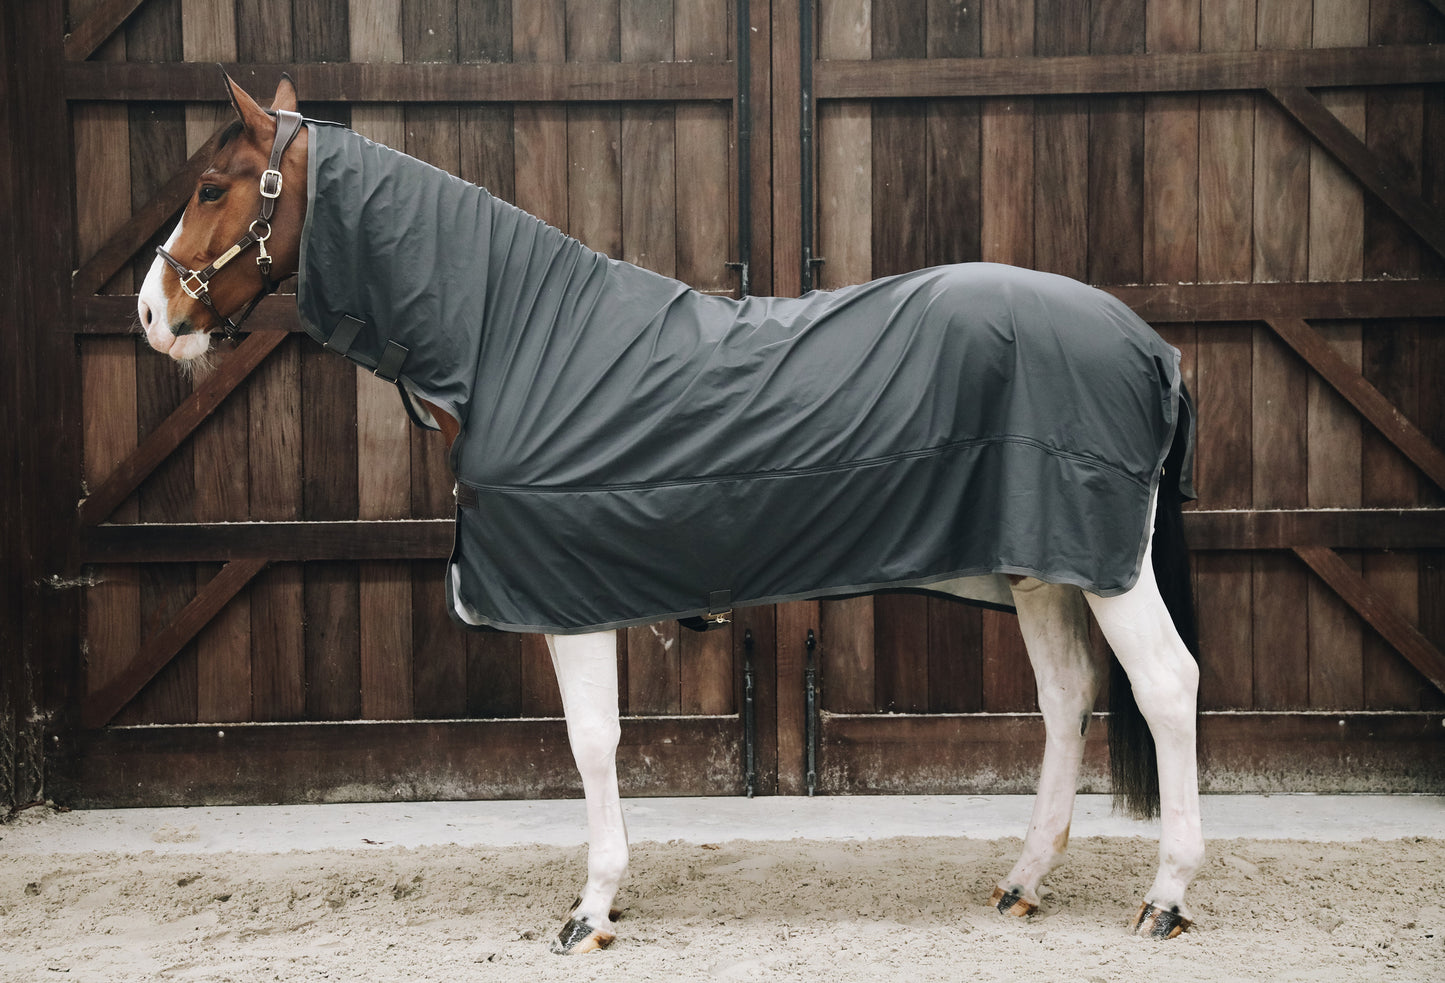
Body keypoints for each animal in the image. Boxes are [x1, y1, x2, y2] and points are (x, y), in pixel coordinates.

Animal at [136, 74, 1204, 953]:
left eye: (212, 187)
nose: (152, 317)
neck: (514, 342)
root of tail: (1149, 345)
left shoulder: (570, 598)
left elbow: (592, 743)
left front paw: (592, 906)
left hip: (1109, 568)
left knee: (1165, 685)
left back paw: (1165, 896)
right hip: (1044, 568)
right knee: (1065, 697)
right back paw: (1024, 881)